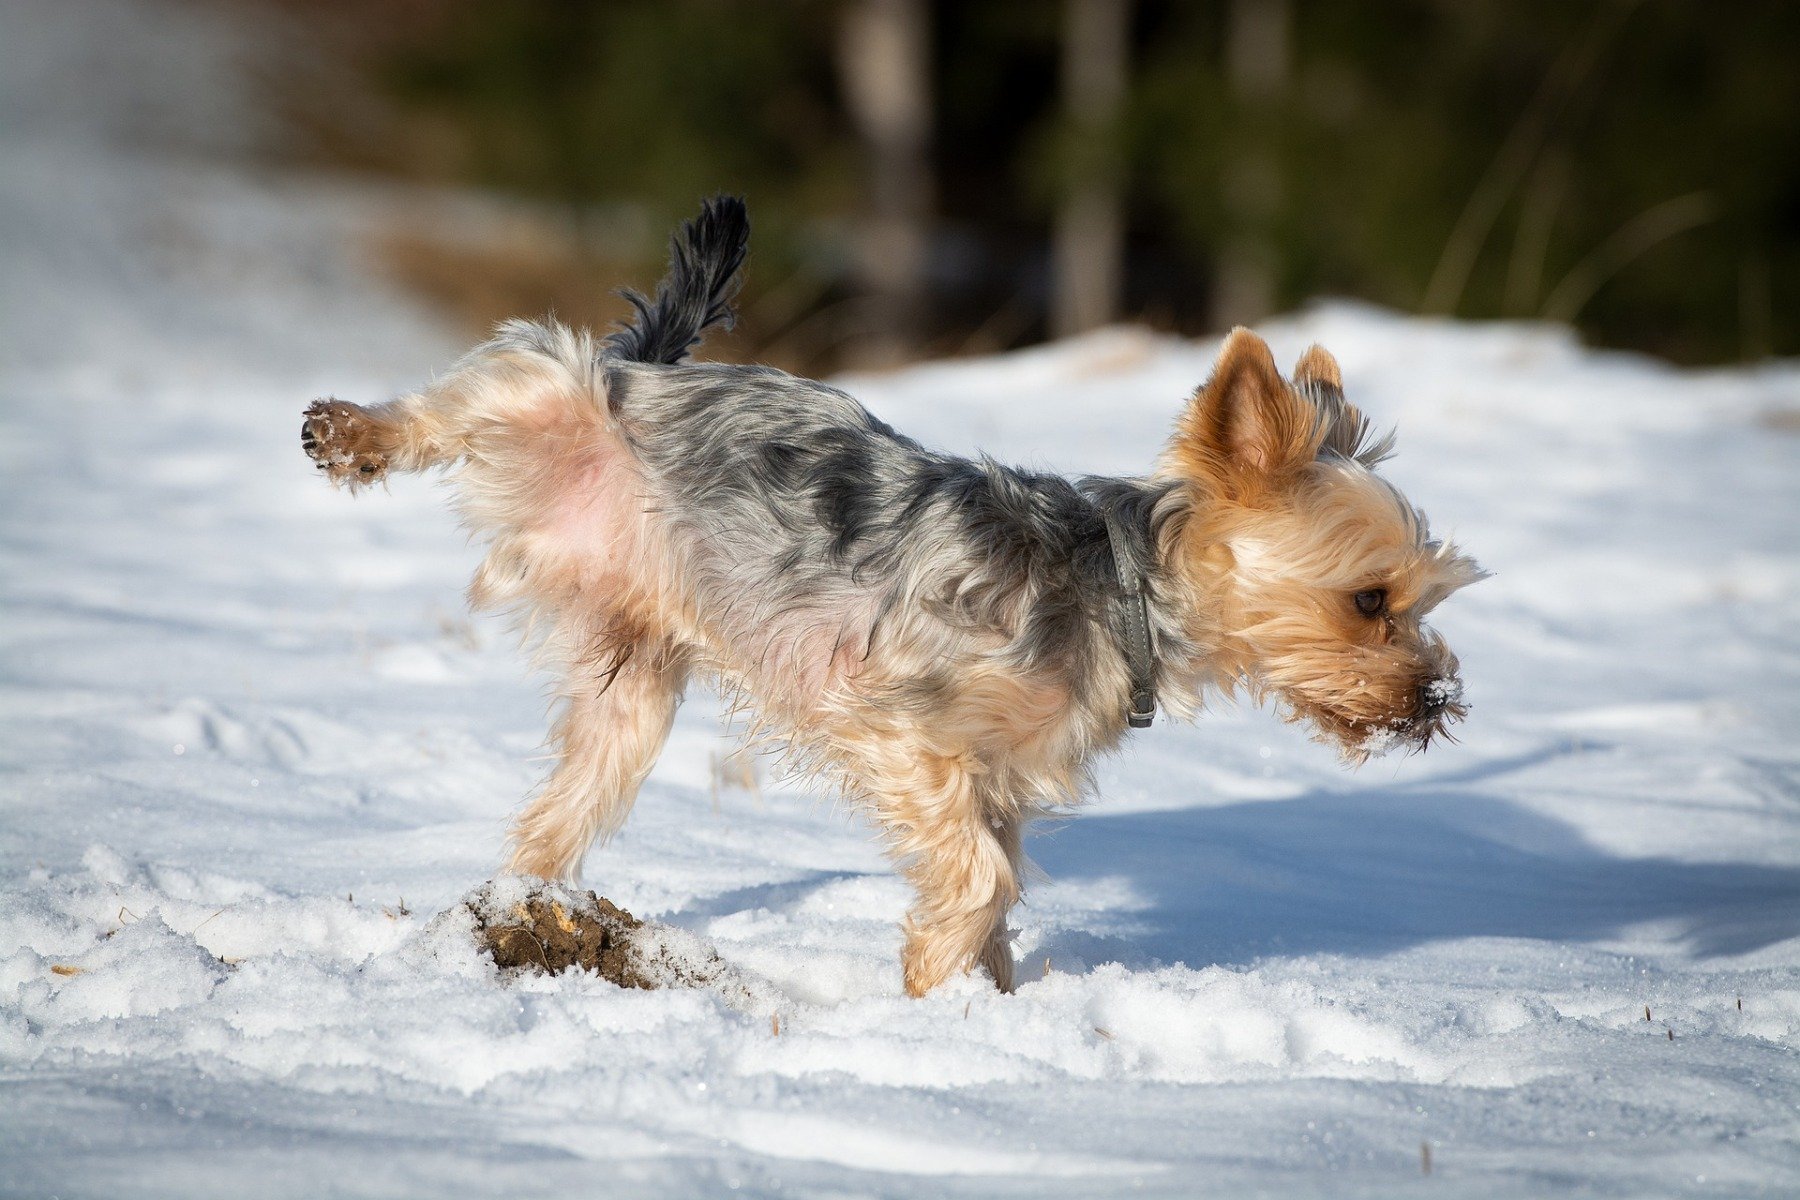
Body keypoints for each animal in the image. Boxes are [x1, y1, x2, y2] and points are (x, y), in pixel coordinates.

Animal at [298, 201, 1476, 1000]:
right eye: (1370, 599)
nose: (1435, 701)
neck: (1121, 591)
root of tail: (656, 370)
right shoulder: (903, 727)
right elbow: (981, 876)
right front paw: (931, 983)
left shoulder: (999, 778)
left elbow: (994, 881)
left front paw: (983, 1010)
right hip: (555, 391)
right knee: (484, 383)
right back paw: (350, 433)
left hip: (633, 691)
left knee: (564, 804)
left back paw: (521, 910)